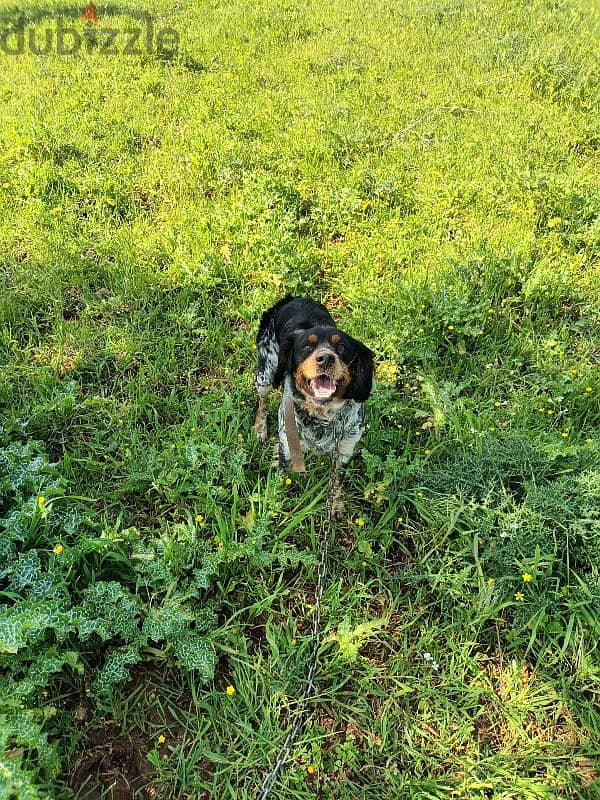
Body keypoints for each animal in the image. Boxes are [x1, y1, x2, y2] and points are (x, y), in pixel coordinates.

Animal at [254, 296, 376, 512]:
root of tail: (293, 297)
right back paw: (260, 428)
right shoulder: (288, 442)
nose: (325, 358)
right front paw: (274, 502)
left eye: (342, 347)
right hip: (266, 373)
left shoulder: (345, 448)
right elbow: (282, 476)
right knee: (262, 400)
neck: (323, 414)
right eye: (306, 347)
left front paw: (335, 506)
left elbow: (336, 482)